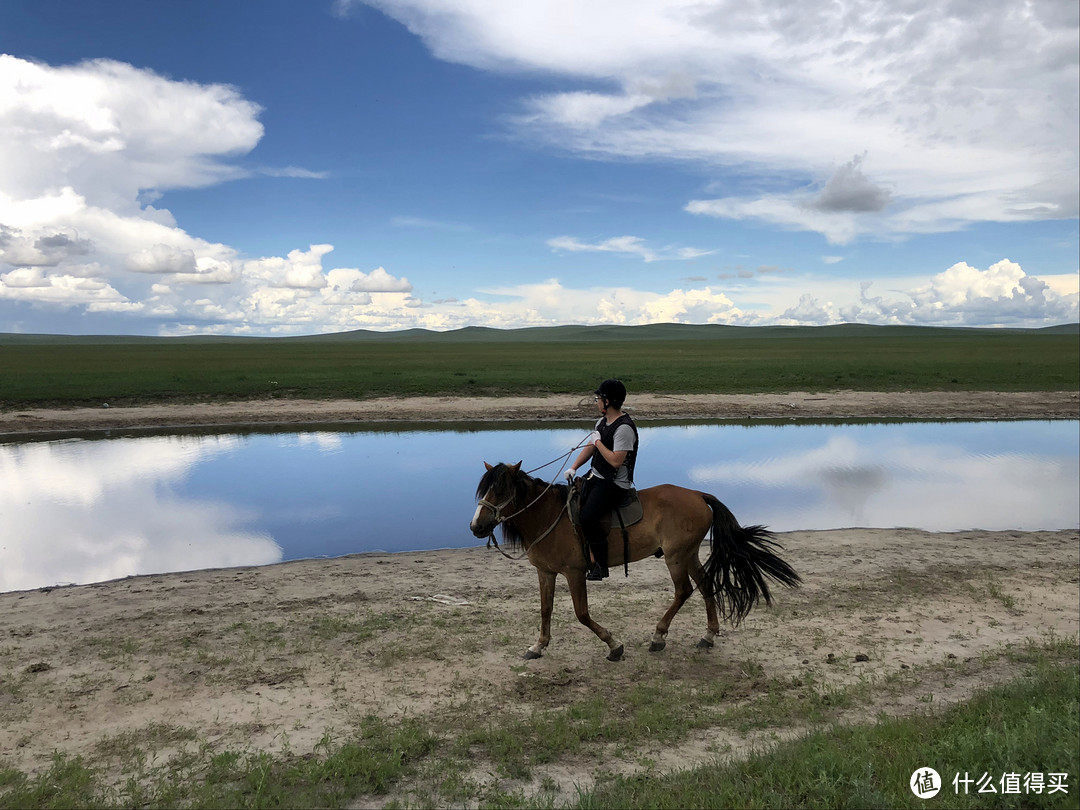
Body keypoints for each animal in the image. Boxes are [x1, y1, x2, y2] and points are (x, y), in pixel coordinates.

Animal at [468, 466, 799, 660]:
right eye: (484, 489)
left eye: (501, 489)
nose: (476, 526)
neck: (550, 516)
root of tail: (697, 494)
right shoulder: (546, 573)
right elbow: (545, 610)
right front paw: (538, 645)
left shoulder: (575, 573)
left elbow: (582, 614)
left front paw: (613, 645)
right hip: (689, 554)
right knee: (705, 586)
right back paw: (707, 636)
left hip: (676, 557)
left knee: (683, 591)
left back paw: (658, 636)